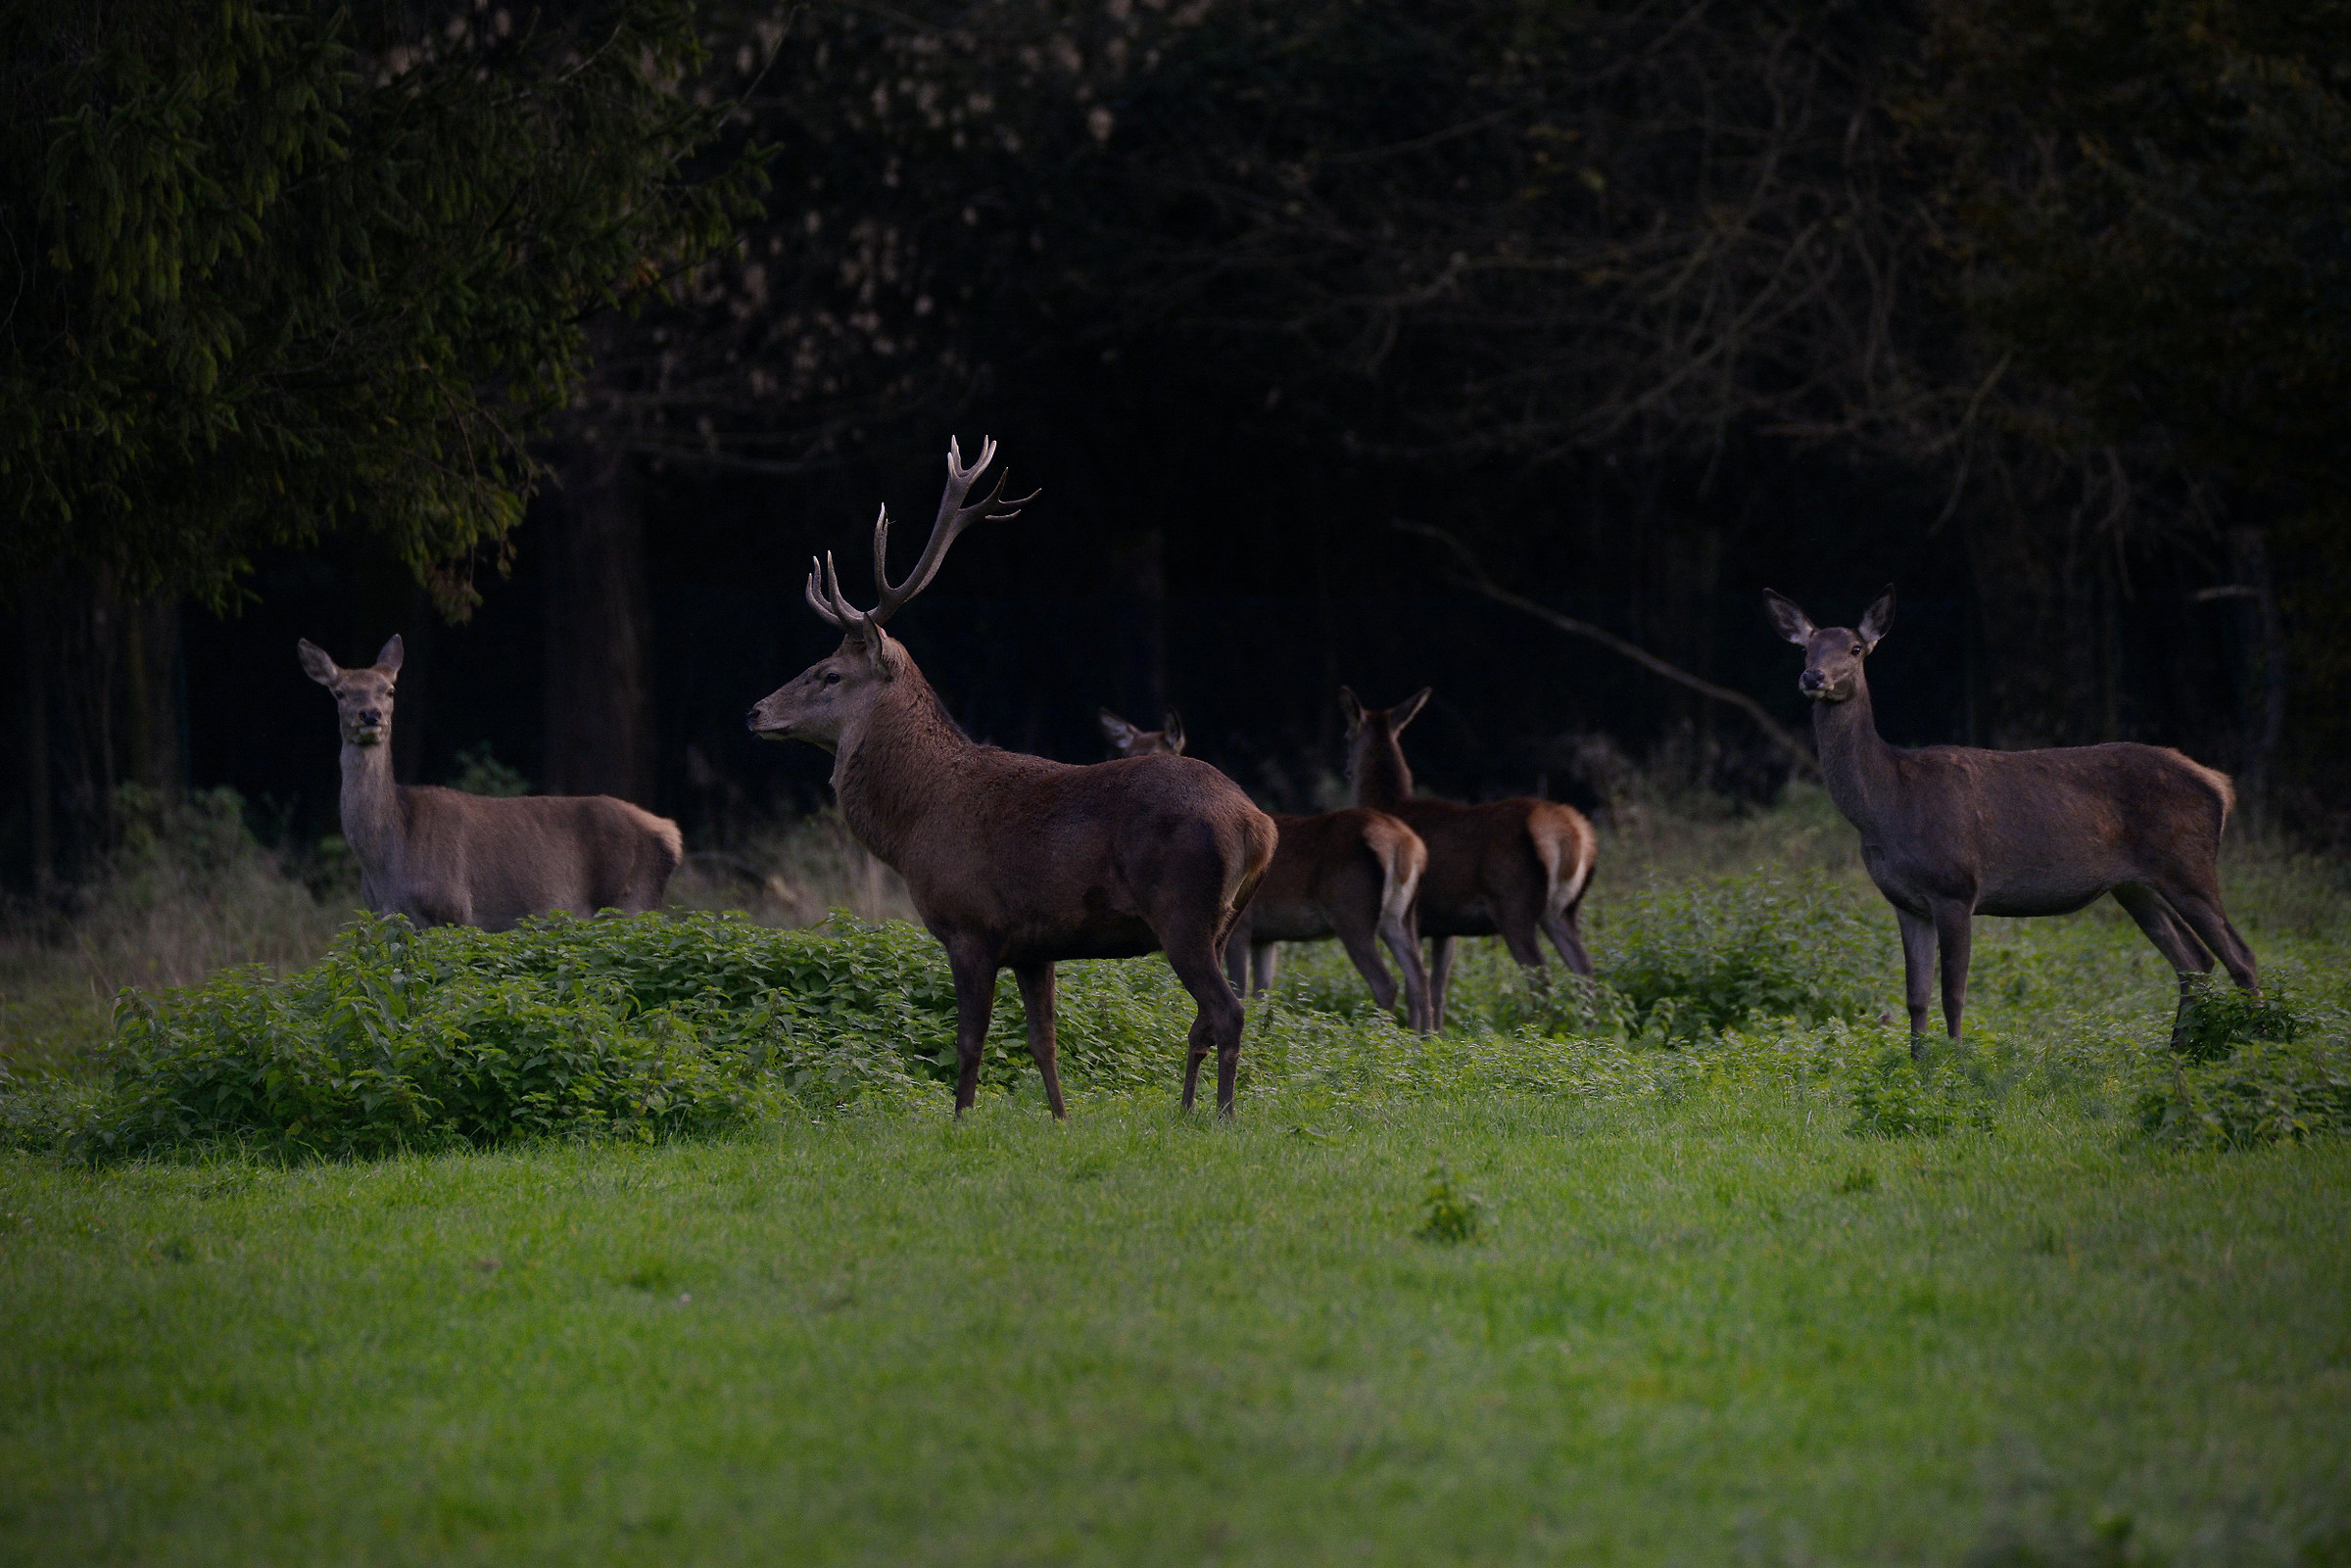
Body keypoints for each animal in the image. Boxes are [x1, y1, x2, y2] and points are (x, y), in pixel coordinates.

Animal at [297, 635, 682, 930]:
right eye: (340, 693)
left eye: (389, 690)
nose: (370, 715)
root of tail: (671, 833)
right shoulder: (386, 916)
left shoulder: (452, 909)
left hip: (631, 901)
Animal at [747, 439, 1278, 1116]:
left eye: (829, 673)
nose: (755, 711)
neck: (914, 824)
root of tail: (1259, 824)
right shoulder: (1035, 944)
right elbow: (1042, 1040)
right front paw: (1060, 1119)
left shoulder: (971, 925)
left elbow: (969, 1041)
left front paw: (960, 1120)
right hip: (1228, 918)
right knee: (1205, 1020)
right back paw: (1184, 1112)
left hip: (1184, 907)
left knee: (1227, 1012)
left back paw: (1222, 1117)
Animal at [1099, 708, 1435, 1033]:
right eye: (1125, 752)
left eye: (1158, 753)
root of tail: (1408, 848)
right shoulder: (1266, 936)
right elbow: (1263, 992)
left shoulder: (1243, 925)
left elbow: (1242, 987)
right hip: (1399, 917)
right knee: (1419, 975)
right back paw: (1420, 1039)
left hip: (1351, 912)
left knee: (1386, 981)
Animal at [1340, 688, 1600, 1029]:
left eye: (1346, 735)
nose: (1345, 768)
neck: (1390, 804)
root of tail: (1570, 832)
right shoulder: (1444, 925)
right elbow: (1438, 987)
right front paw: (1434, 1034)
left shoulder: (1417, 915)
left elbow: (1416, 985)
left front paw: (1418, 1033)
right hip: (1563, 910)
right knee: (1584, 967)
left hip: (1514, 904)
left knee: (1541, 975)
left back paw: (1538, 1029)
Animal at [1763, 586, 2258, 1054]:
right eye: (1806, 648)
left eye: (1855, 649)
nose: (1813, 676)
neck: (1887, 807)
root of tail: (2220, 786)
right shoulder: (1906, 901)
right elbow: (1915, 997)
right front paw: (1917, 1067)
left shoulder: (1956, 887)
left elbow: (1953, 994)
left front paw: (1957, 1066)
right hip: (2134, 886)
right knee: (2194, 961)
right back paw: (2176, 1051)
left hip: (2187, 863)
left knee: (2241, 955)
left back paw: (2257, 1042)